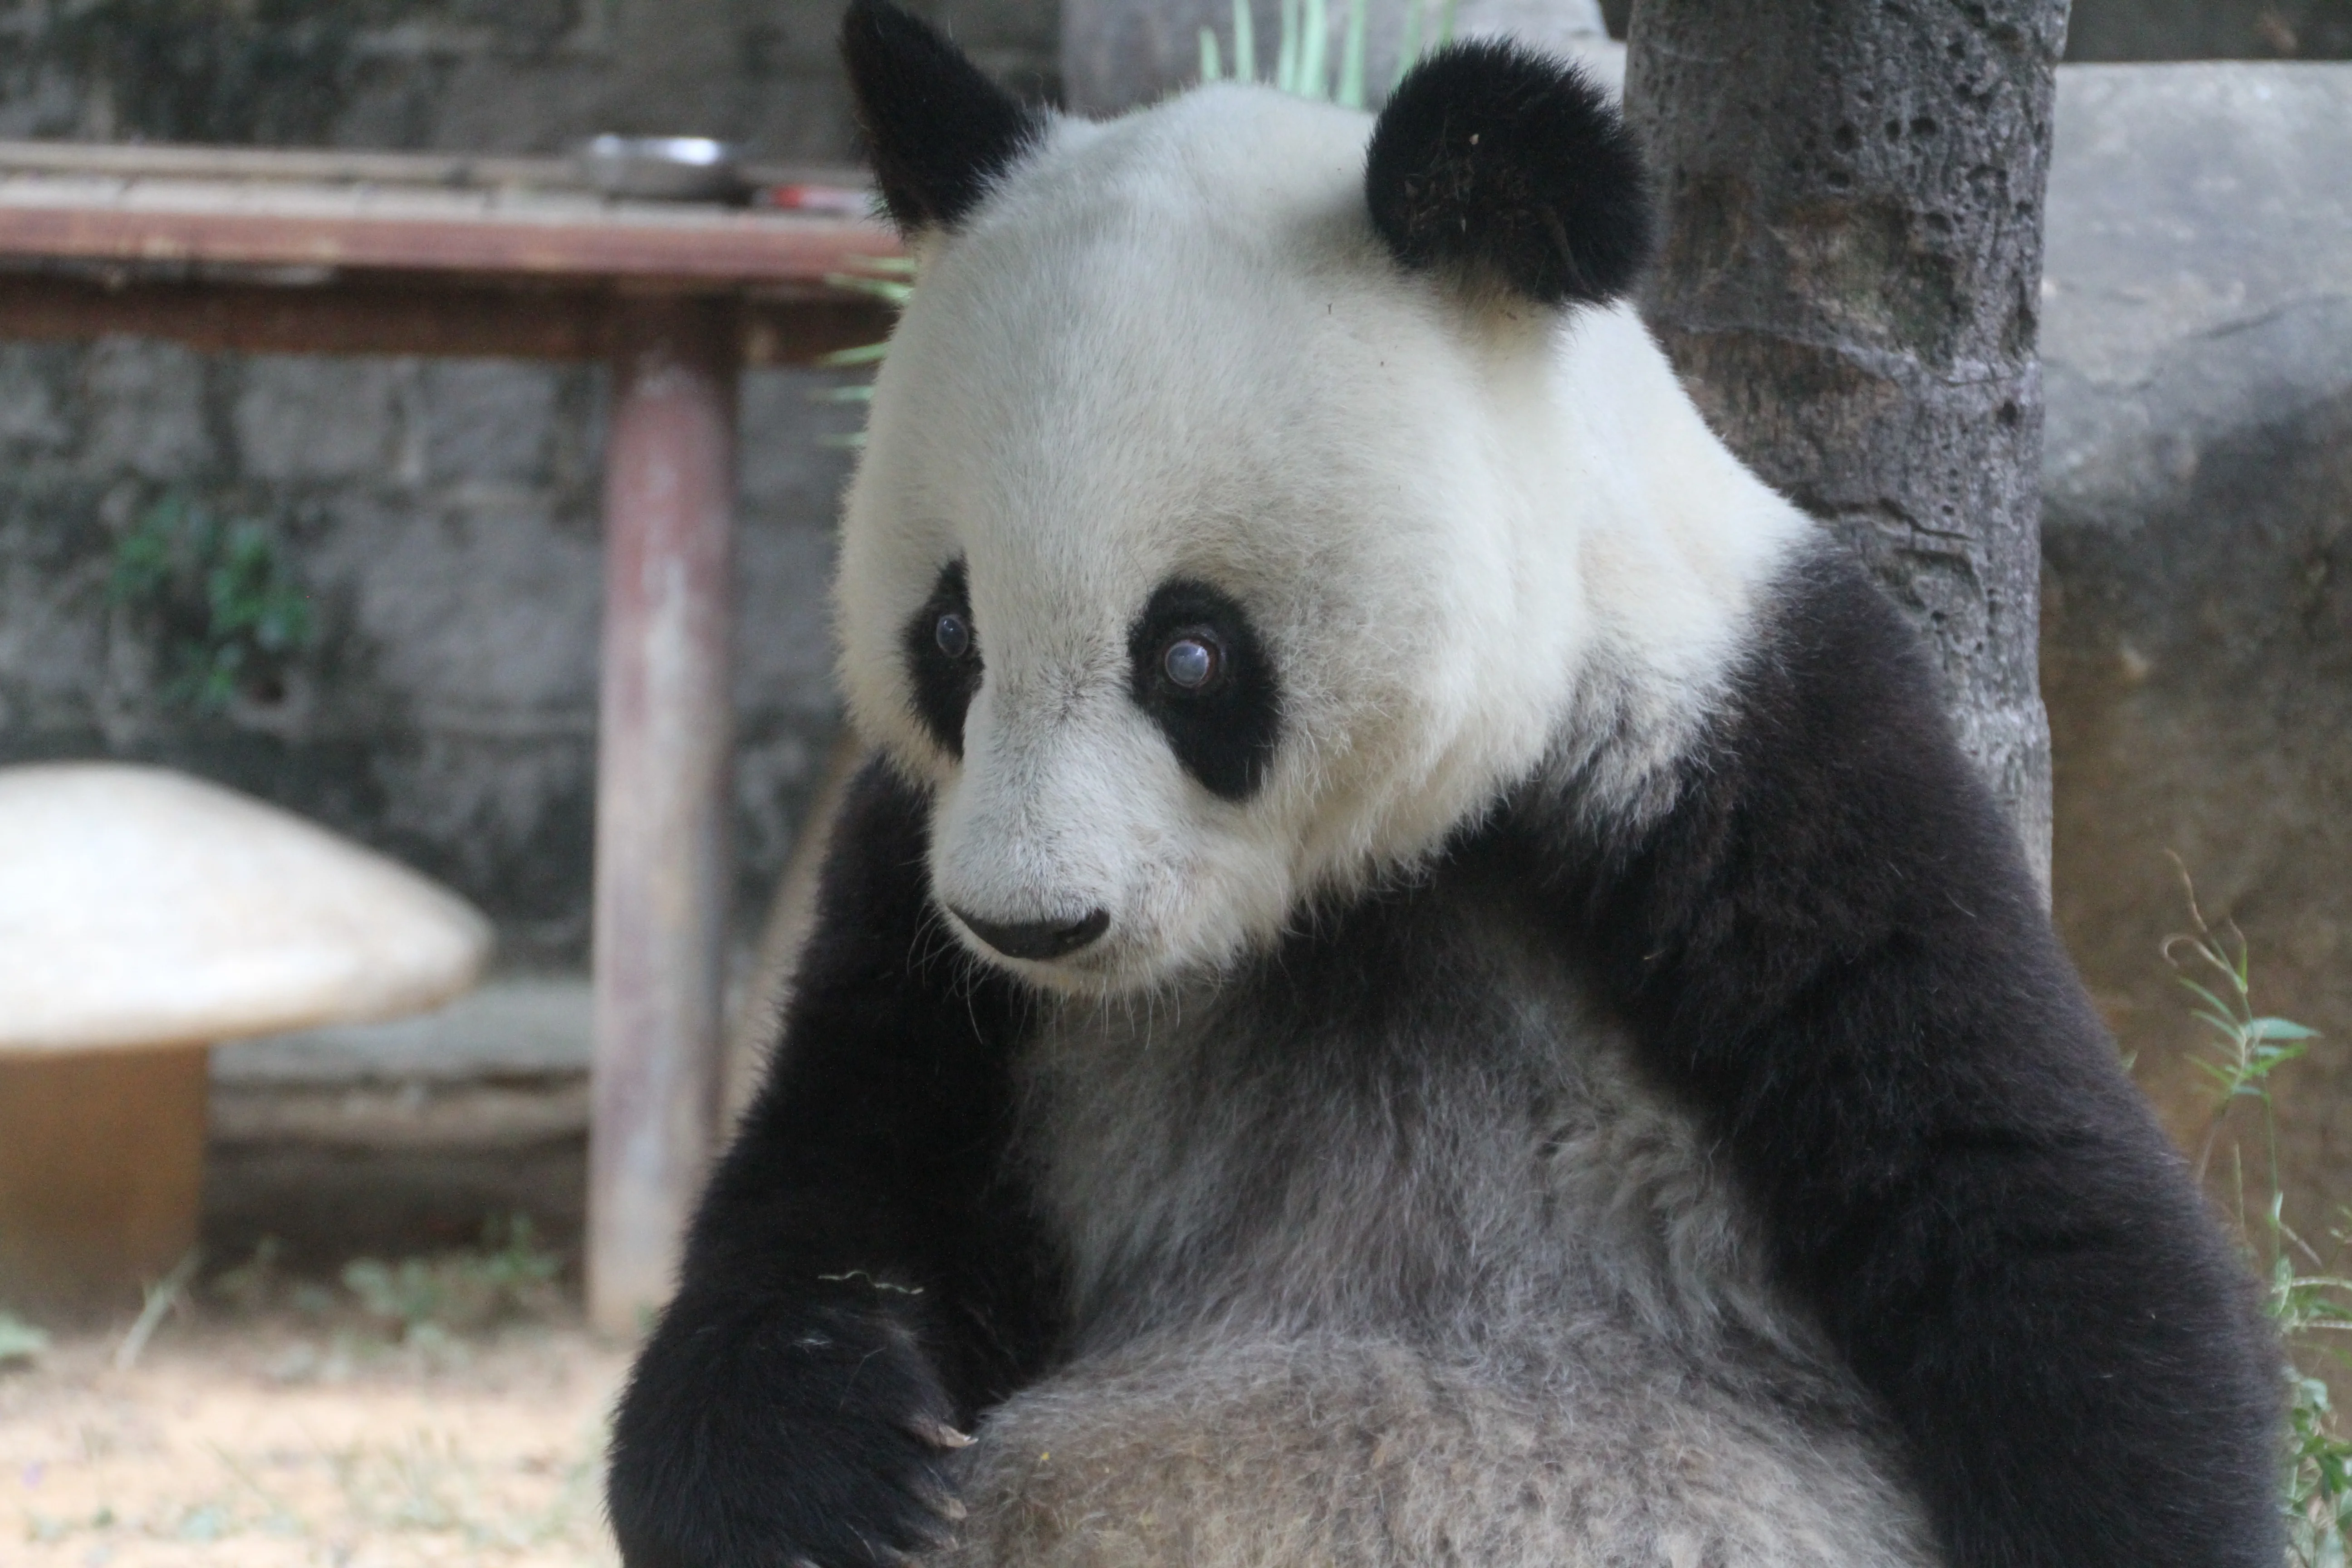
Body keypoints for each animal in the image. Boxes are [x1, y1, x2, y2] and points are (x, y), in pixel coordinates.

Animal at [607, 3, 2281, 1564]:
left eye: (1191, 655)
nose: (1034, 924)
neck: (1363, 880)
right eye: (950, 636)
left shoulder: (1753, 761)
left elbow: (2026, 1213)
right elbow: (830, 1175)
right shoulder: (920, 876)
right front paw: (829, 1470)